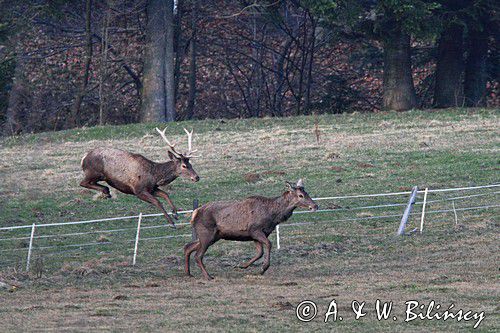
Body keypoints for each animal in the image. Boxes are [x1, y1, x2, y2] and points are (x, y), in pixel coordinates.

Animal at [184, 178, 316, 278]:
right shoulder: (255, 230)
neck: (273, 217)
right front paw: (263, 268)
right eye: (300, 195)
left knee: (188, 247)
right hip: (207, 234)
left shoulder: (256, 235)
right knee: (198, 255)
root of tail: (195, 213)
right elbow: (269, 244)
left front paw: (242, 266)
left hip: (213, 236)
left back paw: (189, 273)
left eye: (307, 193)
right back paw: (208, 276)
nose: (315, 206)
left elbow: (259, 252)